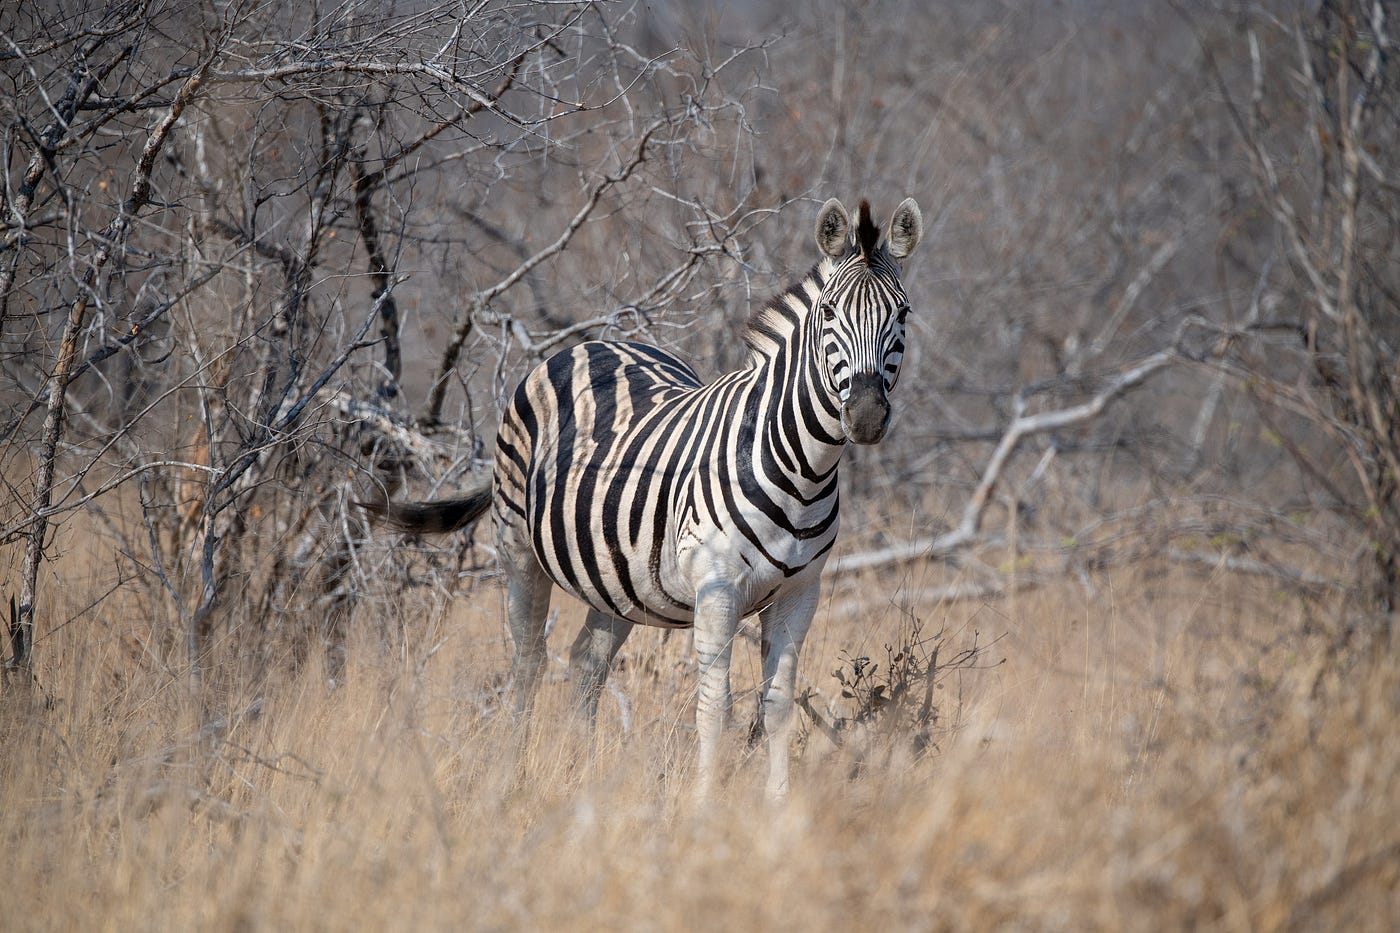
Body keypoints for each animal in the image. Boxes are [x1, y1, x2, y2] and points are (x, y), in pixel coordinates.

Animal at [366, 196, 924, 790]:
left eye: (903, 313)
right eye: (829, 314)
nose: (865, 416)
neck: (803, 471)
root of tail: (594, 342)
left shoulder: (802, 593)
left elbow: (776, 707)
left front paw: (778, 805)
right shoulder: (716, 588)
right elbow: (716, 707)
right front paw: (705, 805)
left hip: (617, 579)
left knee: (586, 663)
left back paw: (583, 775)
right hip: (517, 546)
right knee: (528, 662)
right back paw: (509, 776)